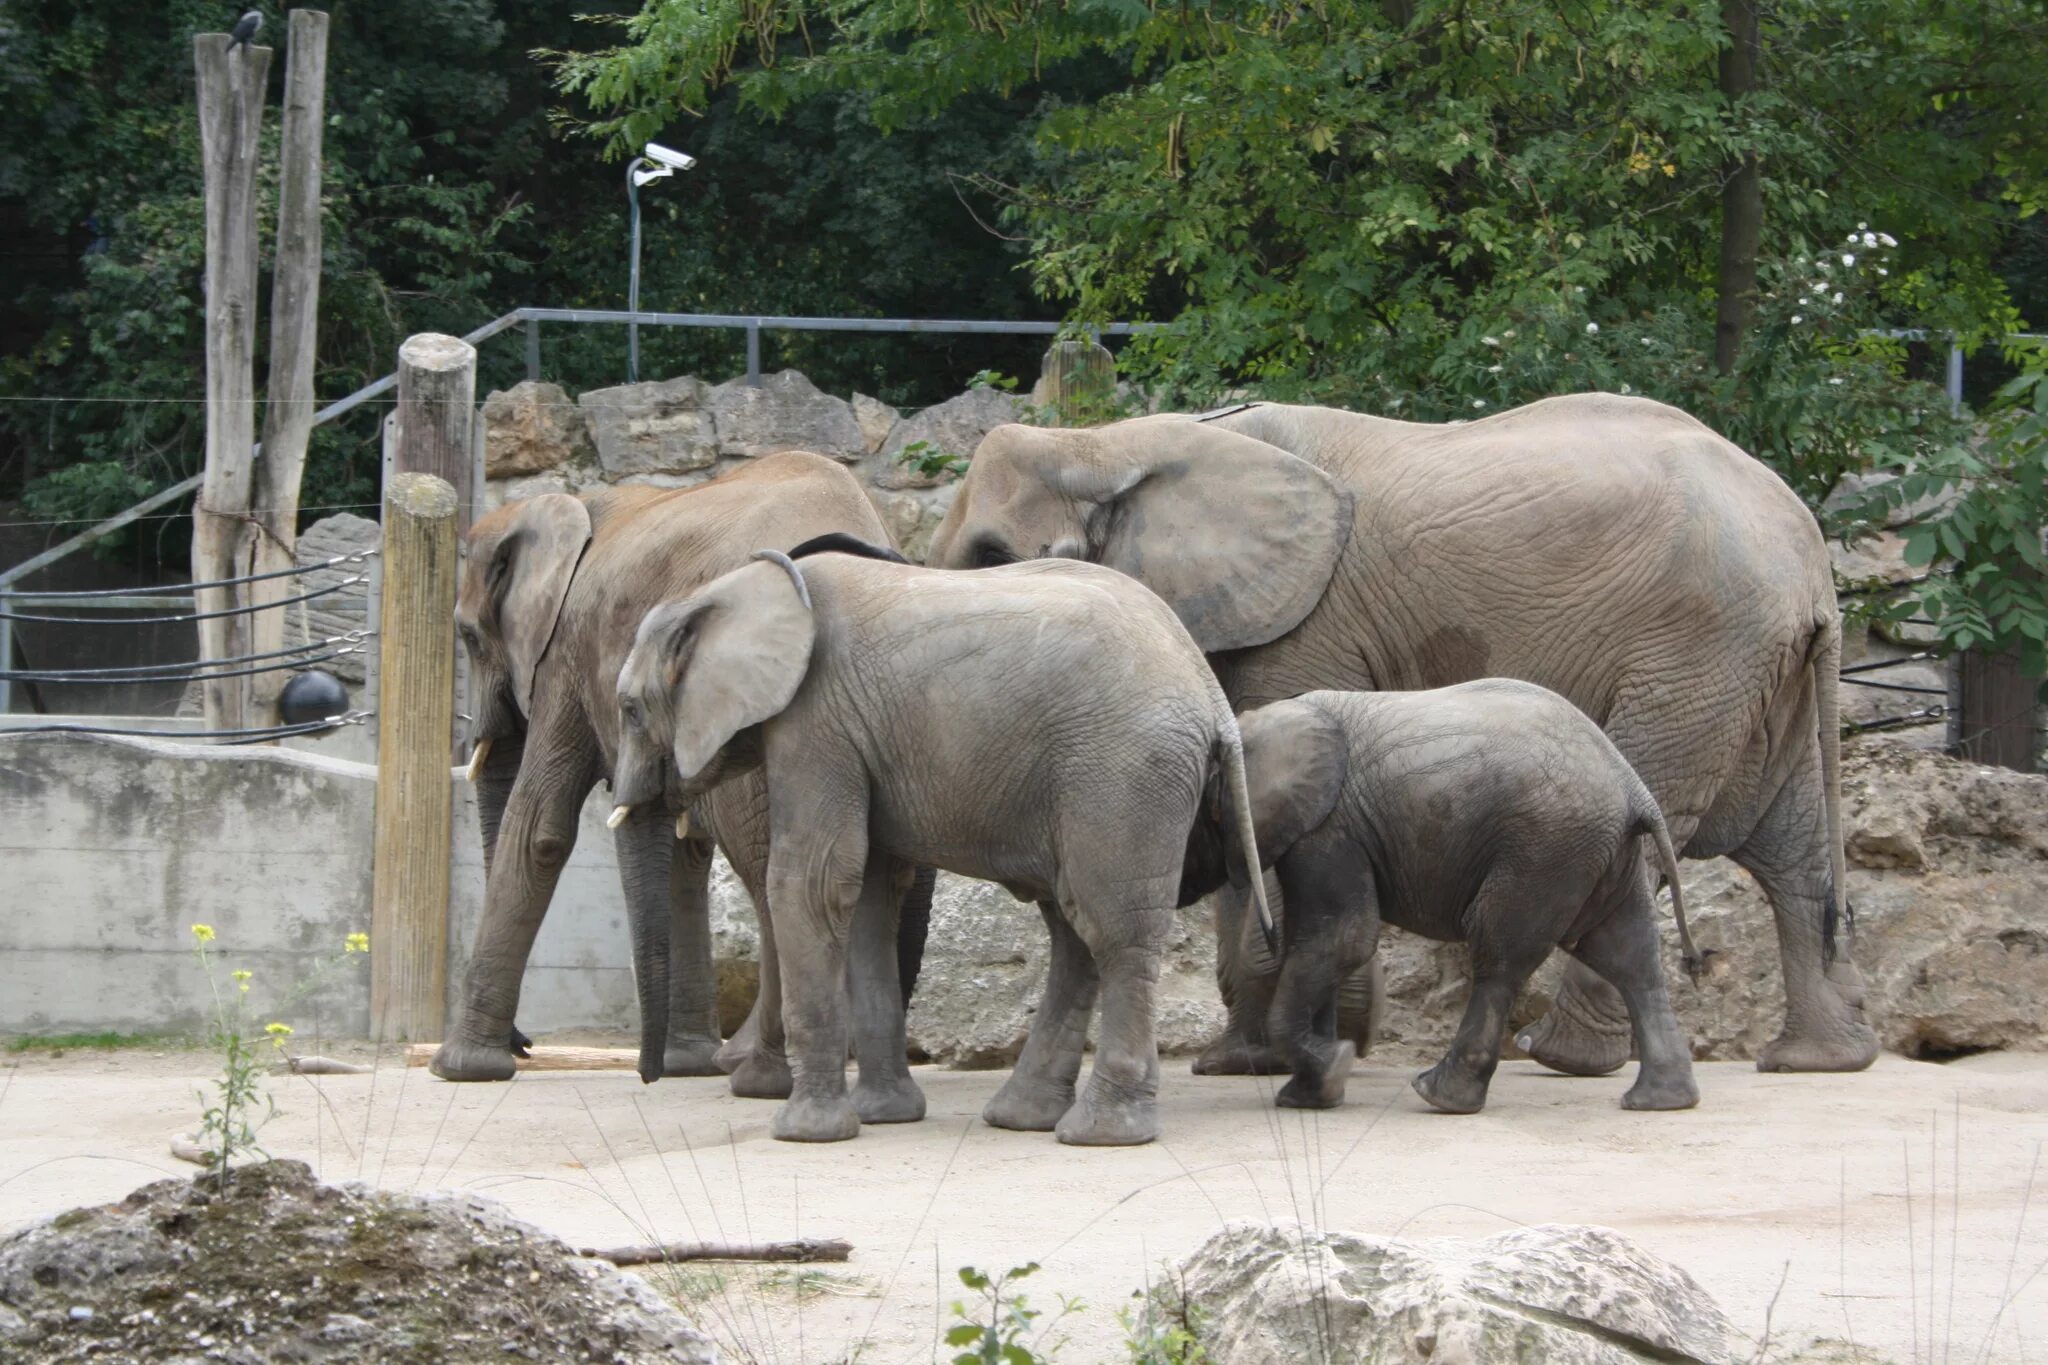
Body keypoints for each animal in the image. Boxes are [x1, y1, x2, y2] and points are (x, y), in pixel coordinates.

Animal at [428, 454, 933, 1096]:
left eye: (468, 636)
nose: (529, 1044)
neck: (564, 505)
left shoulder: (564, 655)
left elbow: (539, 826)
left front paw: (460, 1069)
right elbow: (685, 851)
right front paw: (686, 1063)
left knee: (767, 874)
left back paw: (760, 1075)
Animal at [606, 548, 1261, 1146]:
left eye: (630, 711)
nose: (649, 1077)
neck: (726, 589)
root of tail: (1209, 691)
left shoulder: (816, 722)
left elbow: (812, 884)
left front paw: (804, 1133)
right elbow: (867, 893)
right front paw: (880, 1117)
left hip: (1122, 774)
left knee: (1112, 930)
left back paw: (1101, 1134)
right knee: (1074, 928)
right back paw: (1023, 1118)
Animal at [1179, 683, 1703, 1121]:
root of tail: (1633, 786)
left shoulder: (1330, 830)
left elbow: (1344, 937)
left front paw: (1332, 1070)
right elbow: (1322, 943)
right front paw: (1315, 1091)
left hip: (1546, 848)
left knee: (1500, 956)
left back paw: (1440, 1096)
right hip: (1599, 853)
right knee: (1630, 958)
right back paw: (1660, 1102)